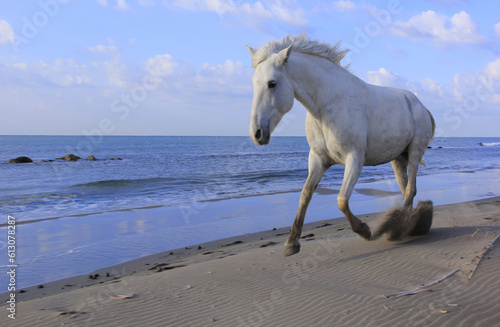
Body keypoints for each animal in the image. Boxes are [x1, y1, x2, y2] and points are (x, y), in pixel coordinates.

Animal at [246, 35, 434, 256]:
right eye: (253, 83)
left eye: (272, 83)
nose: (257, 133)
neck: (326, 106)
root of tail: (421, 105)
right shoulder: (318, 160)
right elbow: (305, 194)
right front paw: (292, 243)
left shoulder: (354, 158)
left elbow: (342, 200)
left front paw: (364, 230)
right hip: (398, 159)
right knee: (406, 191)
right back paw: (405, 226)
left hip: (414, 153)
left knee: (411, 189)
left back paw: (398, 228)